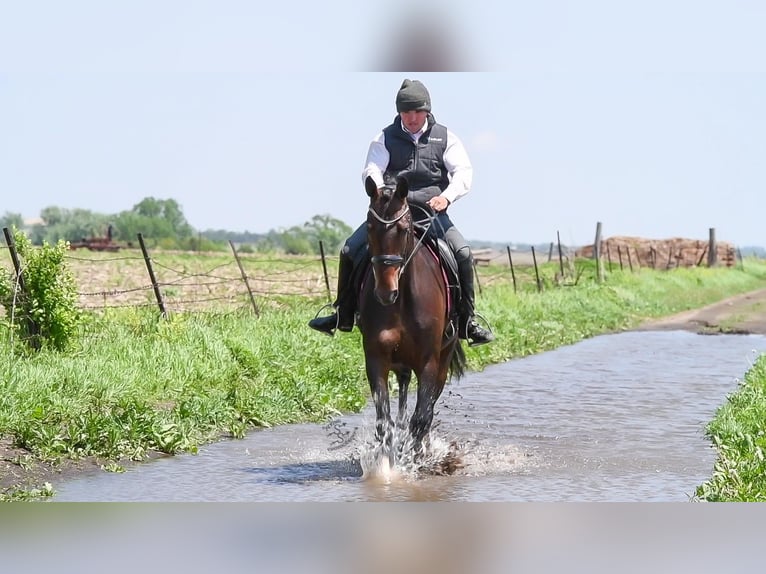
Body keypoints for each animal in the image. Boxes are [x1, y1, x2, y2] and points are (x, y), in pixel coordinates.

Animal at [357, 174, 466, 460]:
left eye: (404, 228)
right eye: (370, 227)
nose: (386, 292)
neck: (403, 301)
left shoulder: (428, 362)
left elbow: (422, 417)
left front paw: (414, 458)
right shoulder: (376, 357)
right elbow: (384, 421)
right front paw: (386, 464)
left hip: (442, 359)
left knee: (426, 409)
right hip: (401, 363)